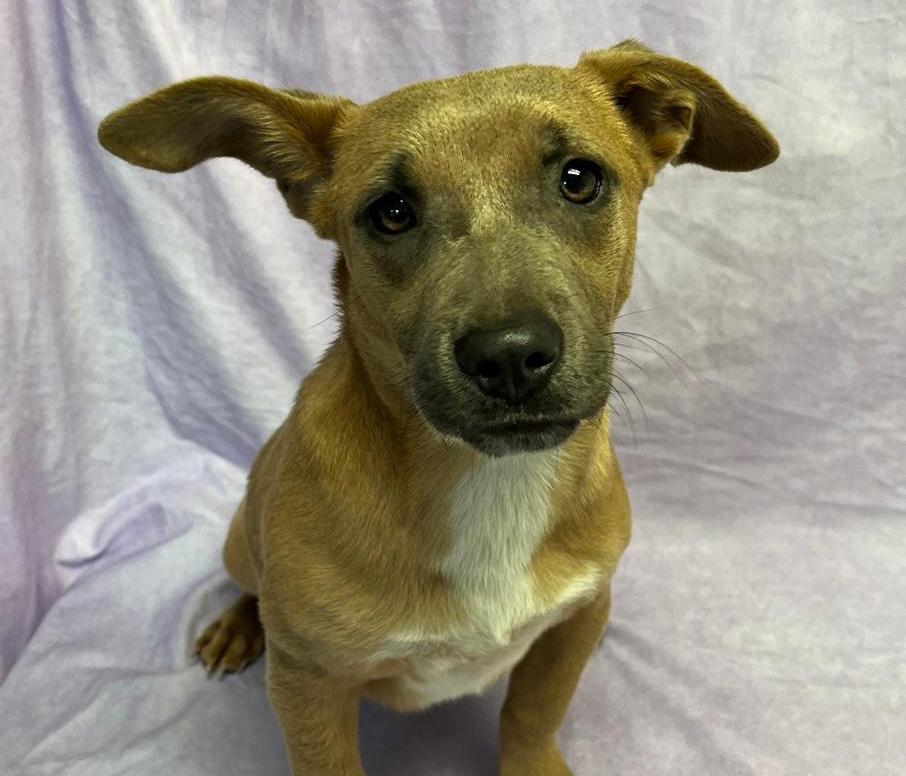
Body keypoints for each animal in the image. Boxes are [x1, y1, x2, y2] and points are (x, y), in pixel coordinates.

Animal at [98, 40, 778, 775]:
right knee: (248, 585)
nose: (509, 356)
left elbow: (533, 711)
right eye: (391, 211)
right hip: (240, 547)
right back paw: (235, 627)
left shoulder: (574, 618)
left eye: (579, 178)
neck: (490, 481)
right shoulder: (309, 684)